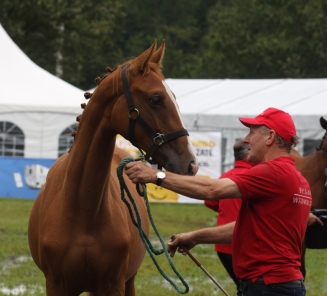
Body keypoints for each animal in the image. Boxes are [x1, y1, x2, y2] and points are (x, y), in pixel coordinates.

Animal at [28, 40, 197, 296]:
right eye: (156, 99)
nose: (191, 163)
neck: (83, 209)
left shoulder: (113, 285)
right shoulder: (57, 286)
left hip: (129, 280)